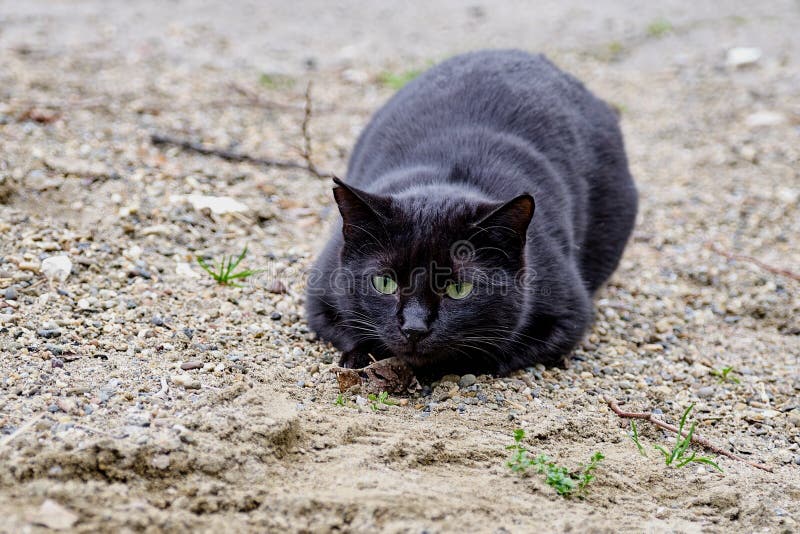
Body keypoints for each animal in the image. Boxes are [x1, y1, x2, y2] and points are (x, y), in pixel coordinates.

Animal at [306, 50, 636, 376]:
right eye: (384, 283)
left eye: (459, 289)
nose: (414, 329)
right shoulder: (319, 295)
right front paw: (358, 359)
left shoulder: (567, 313)